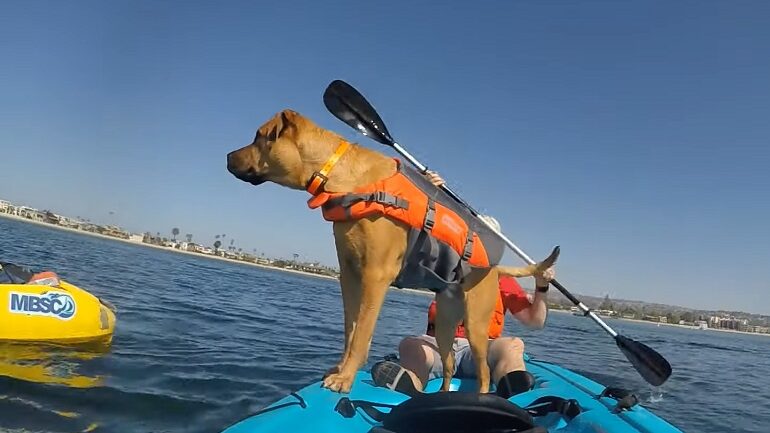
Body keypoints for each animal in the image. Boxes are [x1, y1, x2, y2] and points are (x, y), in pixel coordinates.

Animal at [225, 109, 556, 394]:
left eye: (259, 135)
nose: (227, 156)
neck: (343, 177)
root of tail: (495, 269)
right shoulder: (349, 275)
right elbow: (350, 331)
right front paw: (339, 370)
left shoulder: (376, 276)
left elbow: (362, 336)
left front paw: (345, 379)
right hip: (446, 323)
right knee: (449, 364)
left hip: (475, 325)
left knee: (484, 373)